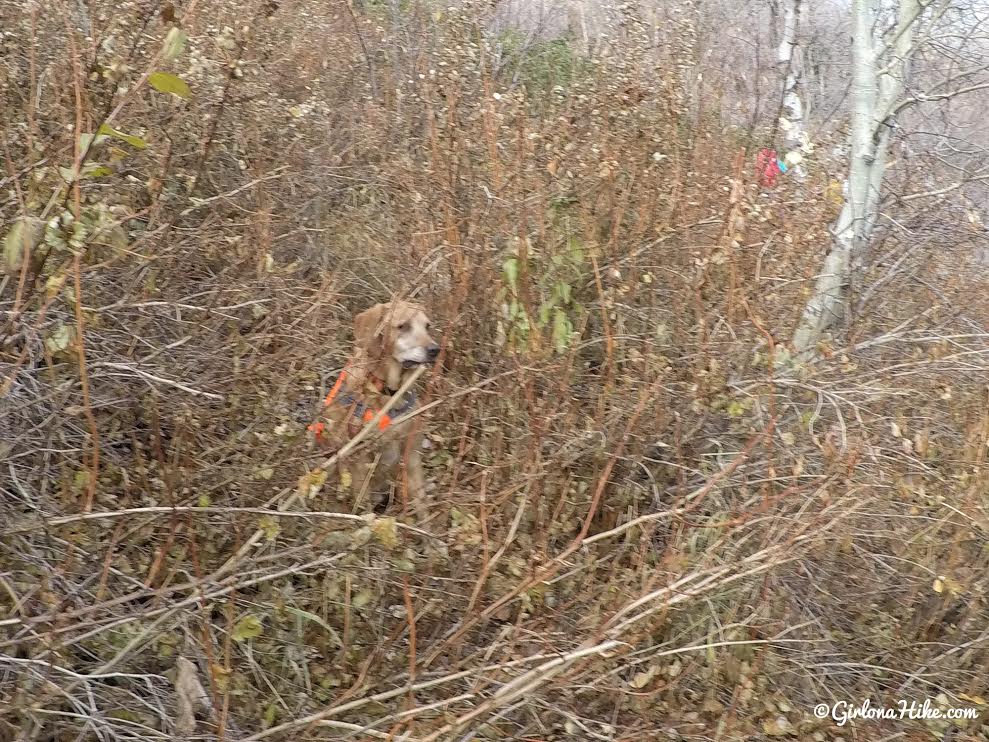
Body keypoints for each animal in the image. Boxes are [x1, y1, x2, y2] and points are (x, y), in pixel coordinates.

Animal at [304, 302, 436, 516]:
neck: (388, 393)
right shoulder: (359, 461)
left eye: (427, 326)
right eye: (403, 326)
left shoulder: (412, 454)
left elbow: (422, 505)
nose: (435, 349)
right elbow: (363, 507)